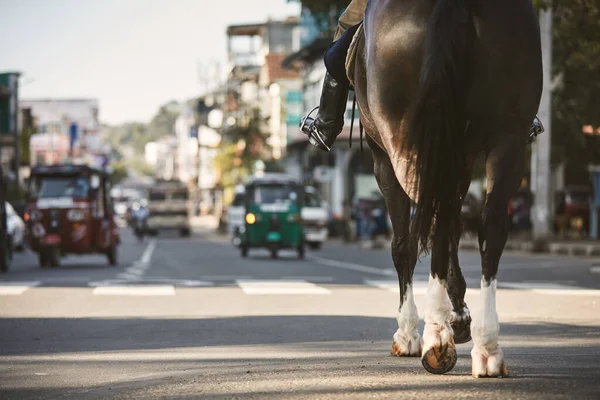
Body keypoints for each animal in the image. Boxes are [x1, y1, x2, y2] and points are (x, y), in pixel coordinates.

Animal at [352, 0, 544, 376]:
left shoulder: (383, 159)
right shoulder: (462, 155)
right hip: (508, 138)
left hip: (402, 141)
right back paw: (486, 346)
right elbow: (455, 222)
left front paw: (412, 332)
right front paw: (459, 317)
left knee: (430, 223)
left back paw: (436, 335)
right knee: (488, 225)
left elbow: (405, 244)